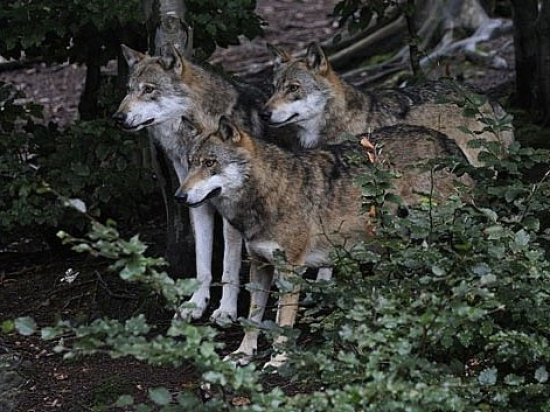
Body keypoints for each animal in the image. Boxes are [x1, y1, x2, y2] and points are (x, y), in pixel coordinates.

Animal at [111, 43, 270, 324]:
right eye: (129, 90)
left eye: (149, 89)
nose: (118, 117)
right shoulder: (197, 203)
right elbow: (202, 265)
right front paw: (197, 303)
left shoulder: (232, 214)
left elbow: (228, 267)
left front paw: (226, 310)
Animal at [177, 115, 474, 366]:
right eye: (191, 163)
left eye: (210, 163)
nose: (179, 196)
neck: (268, 192)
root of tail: (446, 141)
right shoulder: (260, 264)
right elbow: (253, 318)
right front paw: (243, 353)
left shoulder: (291, 271)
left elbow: (283, 321)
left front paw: (278, 360)